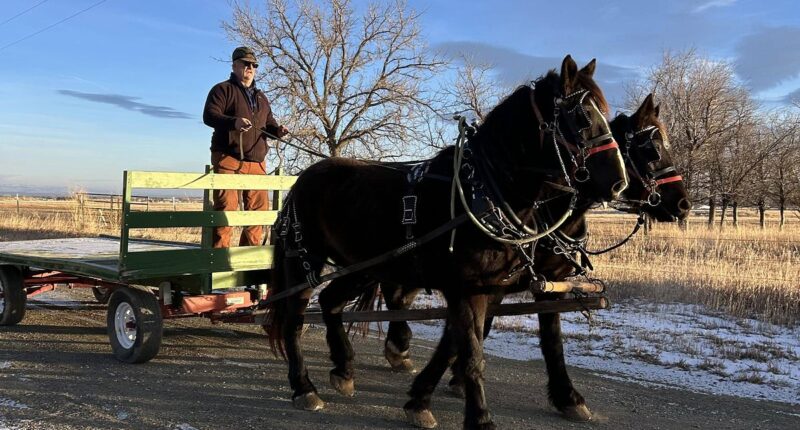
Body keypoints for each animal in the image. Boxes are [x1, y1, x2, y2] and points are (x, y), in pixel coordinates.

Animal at [265, 55, 628, 429]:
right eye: (582, 116)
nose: (619, 183)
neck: (481, 191)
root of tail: (302, 178)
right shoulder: (465, 288)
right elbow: (471, 353)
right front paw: (478, 417)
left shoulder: (491, 288)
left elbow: (478, 344)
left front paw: (421, 398)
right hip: (304, 259)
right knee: (294, 319)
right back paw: (304, 387)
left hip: (364, 266)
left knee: (331, 302)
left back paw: (344, 368)